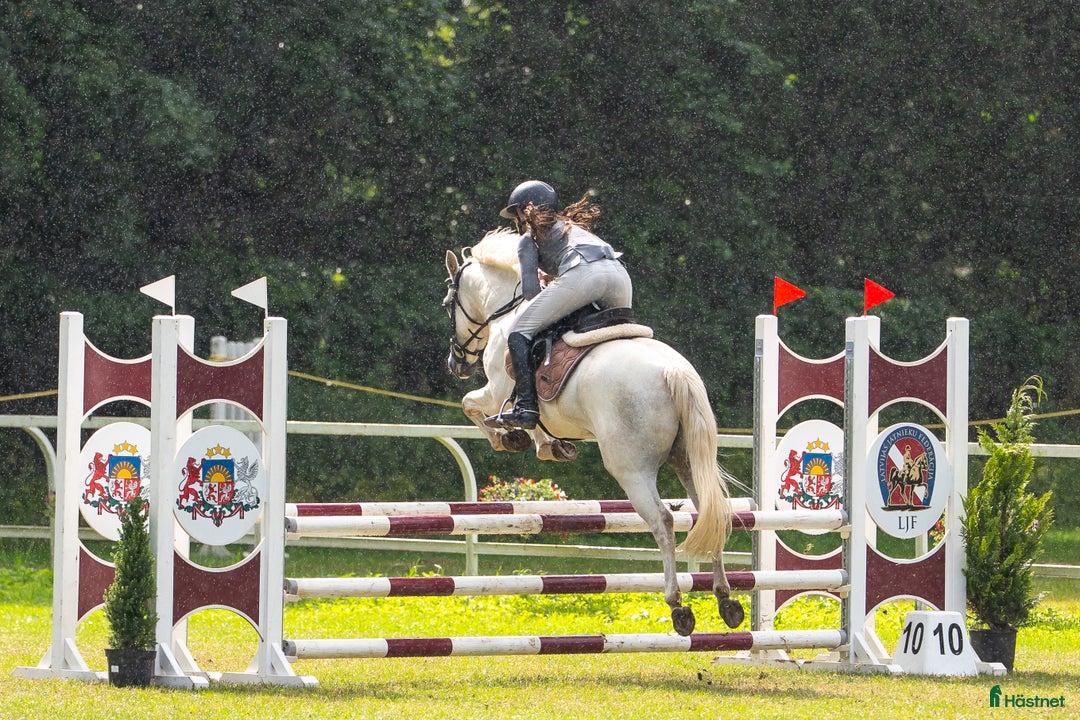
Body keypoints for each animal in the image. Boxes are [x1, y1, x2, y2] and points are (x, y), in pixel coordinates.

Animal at [441, 228, 743, 635]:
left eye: (448, 303)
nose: (455, 363)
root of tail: (674, 373)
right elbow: (532, 423)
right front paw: (550, 445)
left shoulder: (496, 388)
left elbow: (473, 404)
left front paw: (510, 436)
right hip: (687, 460)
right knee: (710, 512)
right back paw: (726, 599)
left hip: (631, 468)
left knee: (663, 520)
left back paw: (678, 606)